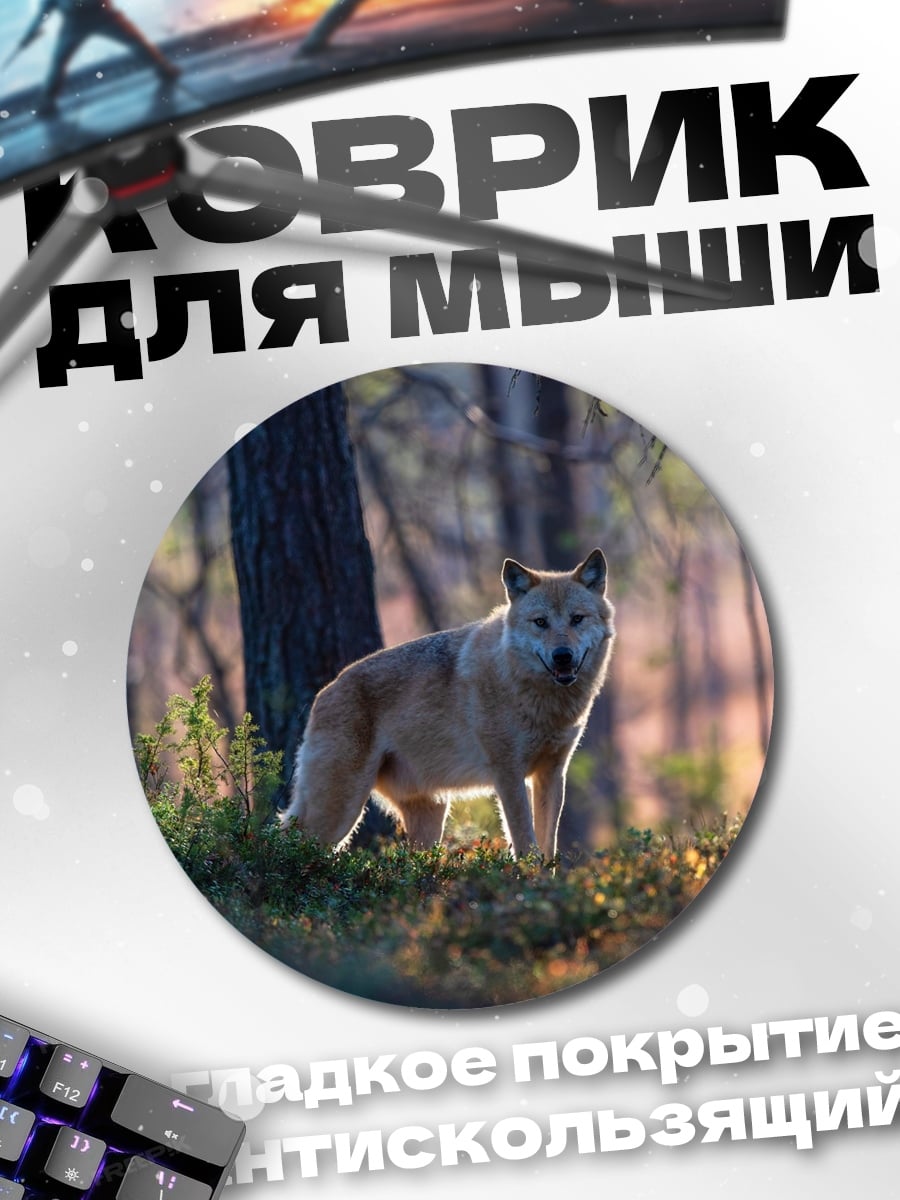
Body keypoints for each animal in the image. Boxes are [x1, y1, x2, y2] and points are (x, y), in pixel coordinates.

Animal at [279, 549, 615, 859]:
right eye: (541, 622)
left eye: (576, 619)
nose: (562, 656)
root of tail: (322, 693)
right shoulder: (508, 774)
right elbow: (525, 843)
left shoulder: (552, 773)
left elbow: (548, 847)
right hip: (340, 813)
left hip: (428, 817)